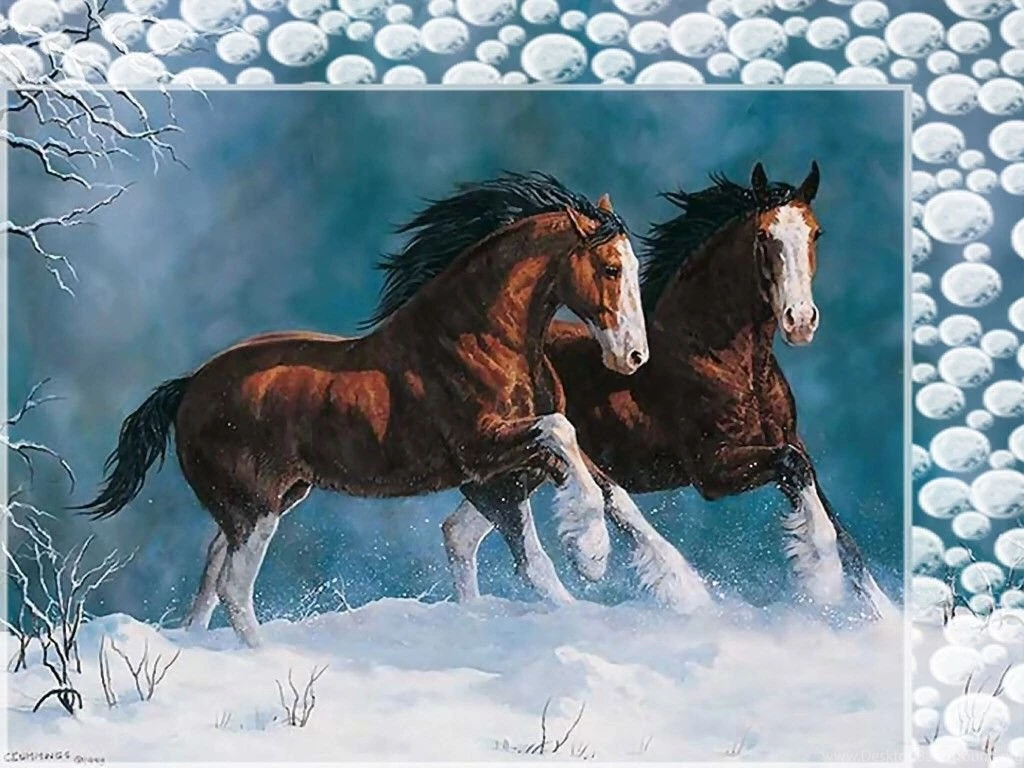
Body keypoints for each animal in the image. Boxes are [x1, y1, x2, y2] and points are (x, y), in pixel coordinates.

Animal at [76, 172, 650, 647]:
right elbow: (557, 450)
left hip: (268, 501)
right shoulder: (483, 454)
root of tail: (190, 385)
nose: (633, 357)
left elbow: (599, 485)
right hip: (255, 509)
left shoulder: (501, 470)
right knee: (234, 590)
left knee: (213, 569)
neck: (478, 340)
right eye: (610, 268)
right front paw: (592, 554)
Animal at [441, 163, 894, 620]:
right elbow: (795, 471)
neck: (724, 359)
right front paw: (822, 580)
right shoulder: (713, 469)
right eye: (765, 235)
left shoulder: (788, 439)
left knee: (461, 533)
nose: (800, 321)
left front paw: (882, 615)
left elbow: (839, 527)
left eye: (815, 233)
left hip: (518, 473)